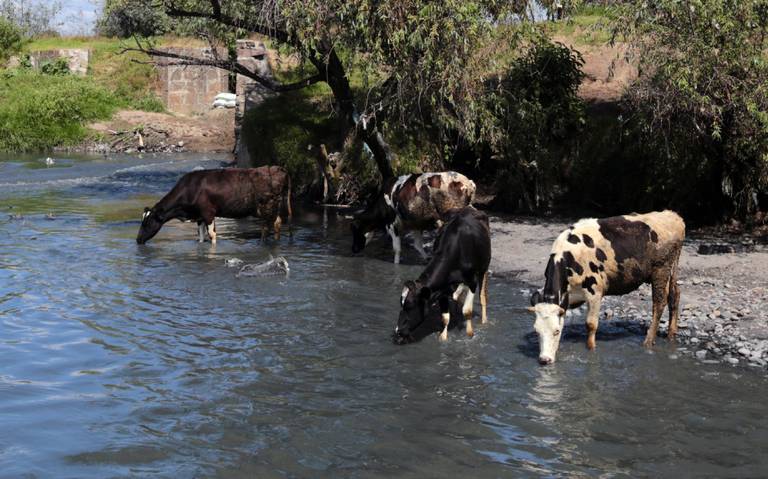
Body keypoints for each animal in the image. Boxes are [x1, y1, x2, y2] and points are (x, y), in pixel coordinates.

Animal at [135, 167, 292, 246]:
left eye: (146, 223)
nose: (137, 240)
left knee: (268, 226)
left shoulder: (208, 213)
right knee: (277, 222)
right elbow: (201, 236)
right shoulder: (199, 216)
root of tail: (277, 168)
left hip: (267, 205)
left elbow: (212, 235)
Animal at [390, 207, 492, 344]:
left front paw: (470, 334)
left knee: (482, 297)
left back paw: (484, 321)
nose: (398, 331)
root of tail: (469, 208)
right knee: (457, 297)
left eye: (410, 306)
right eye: (401, 304)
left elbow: (467, 311)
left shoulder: (472, 281)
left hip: (483, 269)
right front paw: (443, 338)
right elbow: (445, 317)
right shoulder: (443, 288)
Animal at [528, 210, 684, 364]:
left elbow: (591, 324)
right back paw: (671, 334)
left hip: (661, 269)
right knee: (674, 294)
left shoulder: (595, 292)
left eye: (556, 331)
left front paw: (591, 350)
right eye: (537, 331)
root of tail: (672, 215)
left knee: (659, 302)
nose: (544, 360)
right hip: (672, 267)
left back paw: (648, 340)